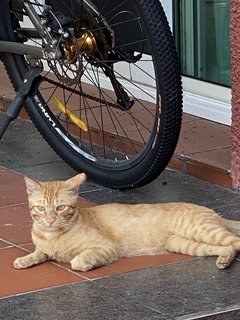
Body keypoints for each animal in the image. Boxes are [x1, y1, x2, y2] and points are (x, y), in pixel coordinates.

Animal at [14, 174, 240, 272]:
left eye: (60, 208)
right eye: (41, 209)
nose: (50, 220)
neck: (52, 236)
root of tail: (213, 212)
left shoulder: (106, 247)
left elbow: (77, 261)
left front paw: (85, 264)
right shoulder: (44, 247)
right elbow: (40, 253)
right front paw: (25, 259)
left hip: (203, 231)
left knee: (235, 241)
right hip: (184, 244)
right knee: (227, 248)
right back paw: (224, 261)